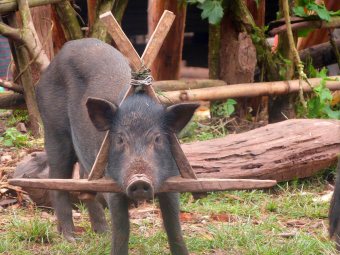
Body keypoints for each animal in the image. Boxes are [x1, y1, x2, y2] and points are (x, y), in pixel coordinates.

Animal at [35, 38, 198, 255]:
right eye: (120, 139)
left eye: (157, 138)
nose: (139, 180)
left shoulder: (171, 179)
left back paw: (102, 233)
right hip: (53, 129)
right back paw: (70, 239)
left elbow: (174, 229)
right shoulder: (112, 183)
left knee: (84, 185)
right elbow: (121, 232)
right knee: (57, 180)